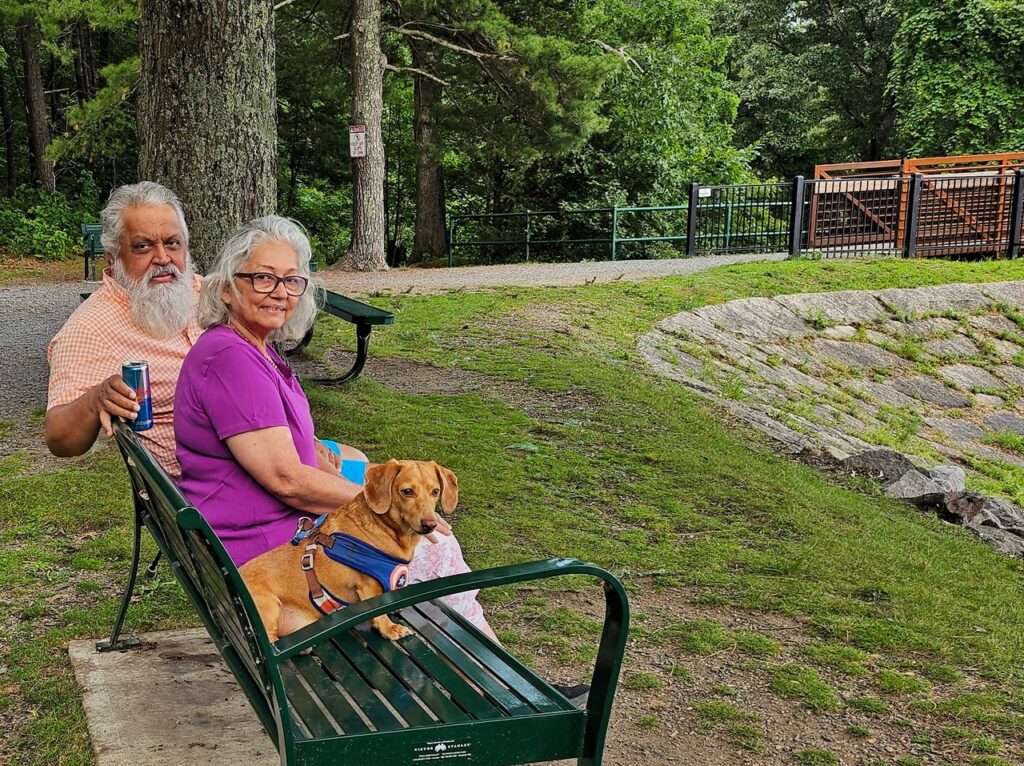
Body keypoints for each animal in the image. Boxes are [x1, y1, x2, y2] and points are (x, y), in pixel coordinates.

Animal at [239, 460, 456, 639]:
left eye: (435, 491)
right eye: (407, 491)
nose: (430, 524)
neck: (385, 529)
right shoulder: (369, 586)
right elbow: (380, 613)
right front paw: (390, 629)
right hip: (268, 607)